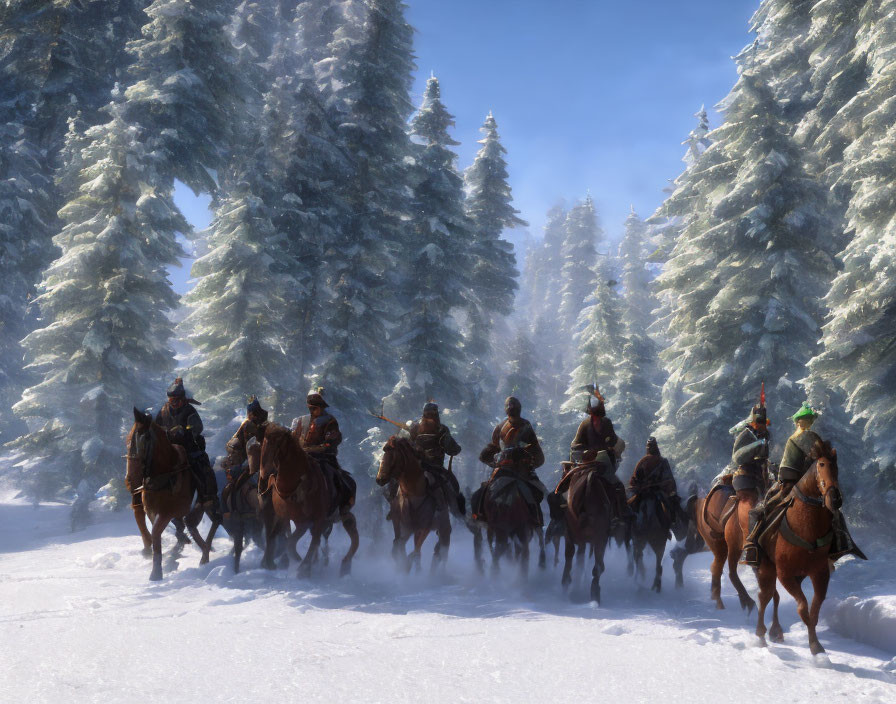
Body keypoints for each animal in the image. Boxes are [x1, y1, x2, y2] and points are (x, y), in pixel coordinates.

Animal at [126, 408, 212, 584]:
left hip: (201, 508)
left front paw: (156, 573)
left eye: (145, 437)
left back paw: (203, 556)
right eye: (129, 440)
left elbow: (157, 533)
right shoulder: (154, 513)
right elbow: (158, 534)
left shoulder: (167, 512)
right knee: (188, 528)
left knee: (196, 526)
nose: (131, 479)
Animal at [256, 424, 356, 576]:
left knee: (349, 528)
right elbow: (278, 538)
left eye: (278, 443)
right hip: (303, 522)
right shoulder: (284, 517)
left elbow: (312, 542)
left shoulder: (318, 518)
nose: (264, 476)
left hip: (339, 514)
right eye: (262, 444)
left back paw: (342, 565)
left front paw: (303, 569)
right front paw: (270, 562)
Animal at [374, 434, 452, 572]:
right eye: (384, 452)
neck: (413, 493)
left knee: (441, 550)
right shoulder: (400, 524)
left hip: (442, 528)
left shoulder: (424, 527)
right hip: (410, 529)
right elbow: (398, 547)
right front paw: (403, 567)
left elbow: (415, 551)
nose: (380, 479)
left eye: (393, 455)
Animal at [556, 462, 612, 604]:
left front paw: (566, 582)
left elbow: (570, 556)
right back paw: (594, 594)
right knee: (598, 567)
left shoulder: (571, 536)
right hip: (600, 540)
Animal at [760, 442, 844, 656]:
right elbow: (802, 608)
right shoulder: (785, 574)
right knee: (764, 597)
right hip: (766, 568)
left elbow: (813, 610)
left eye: (836, 466)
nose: (835, 499)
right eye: (821, 464)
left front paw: (816, 646)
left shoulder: (820, 573)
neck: (806, 530)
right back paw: (762, 634)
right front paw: (815, 646)